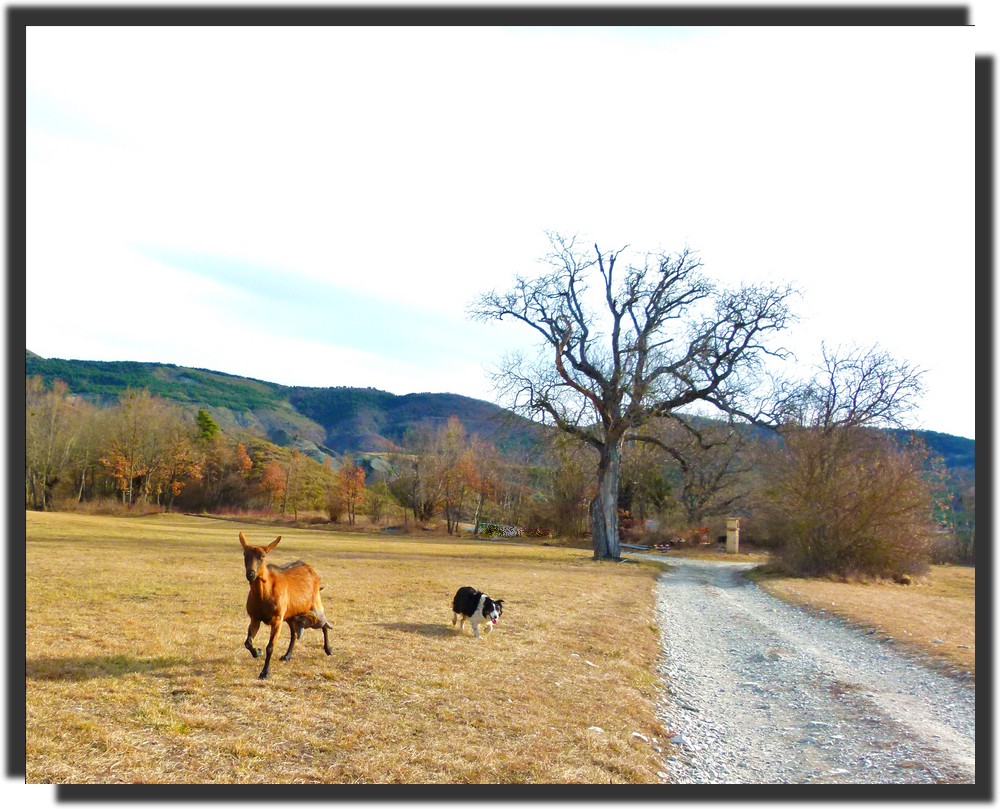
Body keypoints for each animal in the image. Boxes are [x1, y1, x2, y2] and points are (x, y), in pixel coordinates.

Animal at [240, 532, 334, 676]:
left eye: (263, 556)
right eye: (245, 555)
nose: (251, 574)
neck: (264, 594)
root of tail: (310, 569)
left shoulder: (277, 620)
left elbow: (270, 647)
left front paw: (265, 672)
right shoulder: (255, 618)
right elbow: (248, 643)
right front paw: (257, 652)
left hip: (315, 603)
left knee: (323, 623)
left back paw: (328, 649)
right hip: (292, 615)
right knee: (294, 634)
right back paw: (287, 655)